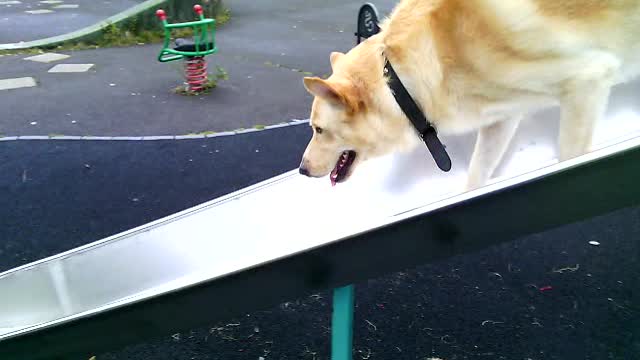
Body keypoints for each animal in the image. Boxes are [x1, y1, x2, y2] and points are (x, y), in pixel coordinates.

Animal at [298, 0, 640, 190]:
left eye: (319, 130)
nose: (302, 170)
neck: (399, 83)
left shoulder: (587, 79)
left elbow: (569, 156)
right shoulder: (501, 119)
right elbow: (475, 178)